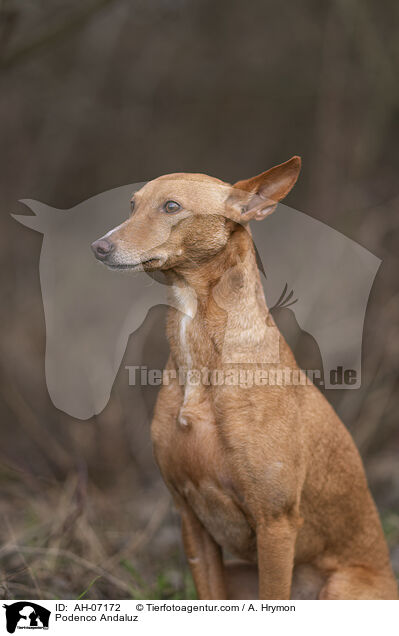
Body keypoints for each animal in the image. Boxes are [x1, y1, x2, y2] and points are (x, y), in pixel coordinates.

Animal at [92, 157, 398, 600]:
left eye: (171, 207)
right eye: (132, 205)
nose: (99, 246)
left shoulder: (276, 523)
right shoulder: (190, 520)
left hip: (339, 587)